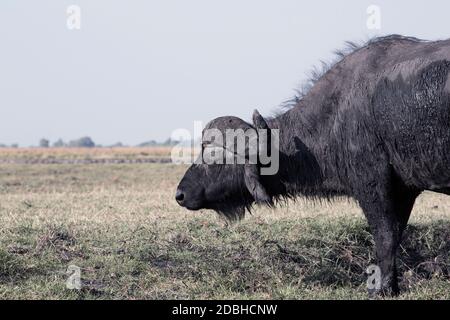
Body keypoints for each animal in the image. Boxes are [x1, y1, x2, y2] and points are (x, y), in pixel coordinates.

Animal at [175, 35, 450, 296]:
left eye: (214, 156)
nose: (180, 194)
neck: (337, 114)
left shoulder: (373, 184)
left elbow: (385, 236)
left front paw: (378, 290)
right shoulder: (405, 190)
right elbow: (397, 234)